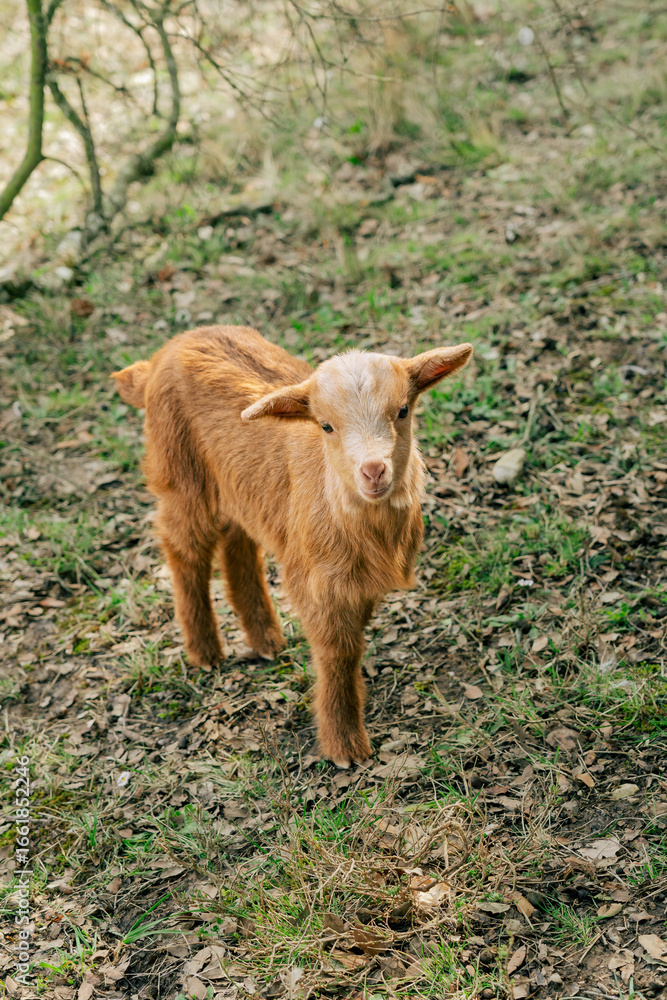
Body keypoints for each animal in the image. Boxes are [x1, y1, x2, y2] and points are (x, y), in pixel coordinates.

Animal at [113, 326, 472, 766]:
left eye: (402, 411)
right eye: (326, 426)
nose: (373, 471)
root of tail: (169, 349)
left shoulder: (356, 585)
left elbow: (353, 643)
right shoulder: (319, 585)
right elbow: (338, 654)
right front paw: (345, 745)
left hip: (241, 489)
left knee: (238, 544)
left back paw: (265, 638)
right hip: (181, 476)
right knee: (184, 552)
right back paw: (205, 651)